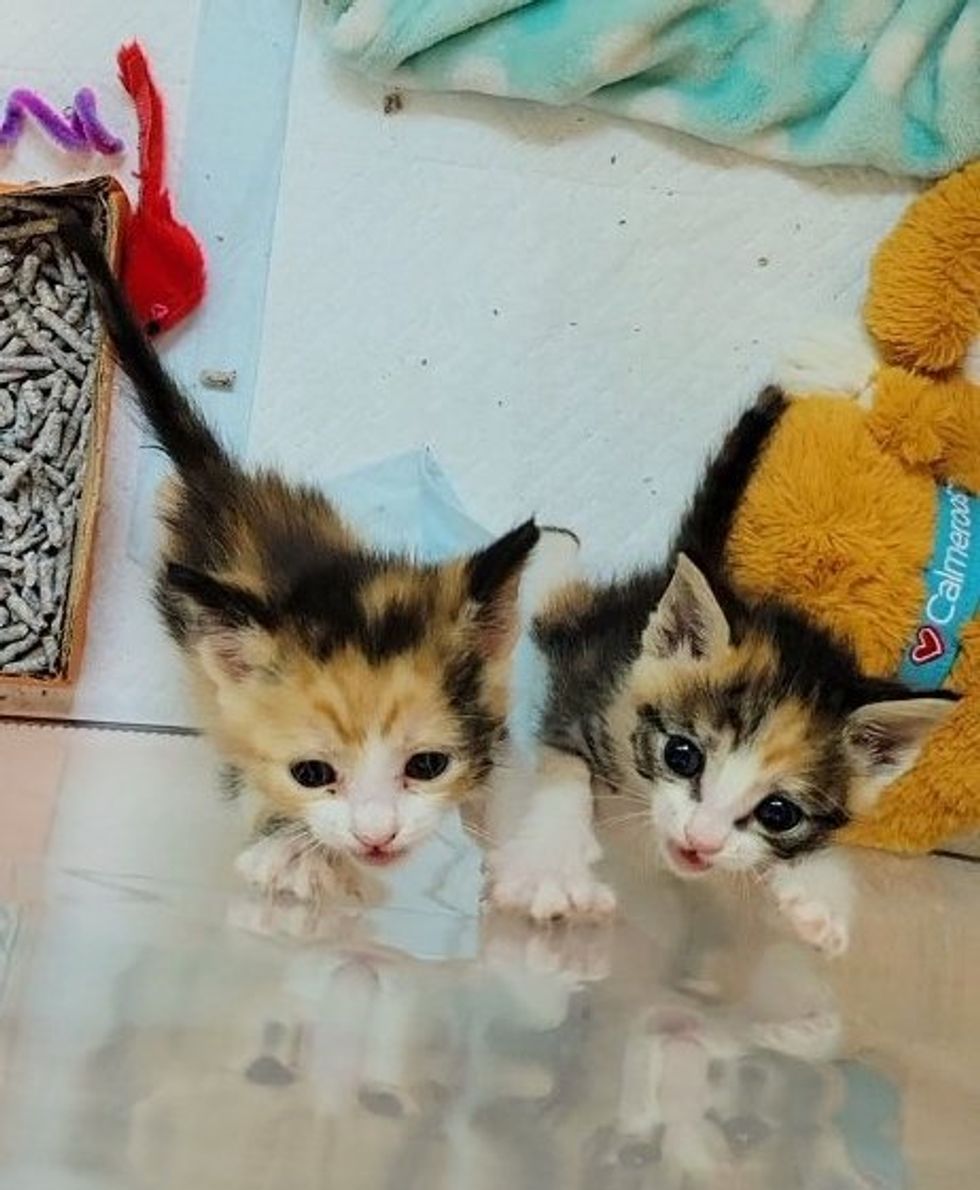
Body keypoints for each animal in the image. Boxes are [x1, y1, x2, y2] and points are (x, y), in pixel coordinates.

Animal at [61, 214, 544, 899]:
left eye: (427, 764)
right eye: (312, 774)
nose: (377, 835)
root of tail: (222, 482)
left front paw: (532, 861)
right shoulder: (239, 753)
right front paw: (293, 857)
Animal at [490, 390, 956, 956]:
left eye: (779, 813)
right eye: (681, 755)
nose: (703, 840)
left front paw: (820, 891)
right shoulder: (584, 691)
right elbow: (564, 770)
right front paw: (551, 866)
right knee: (558, 600)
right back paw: (555, 544)